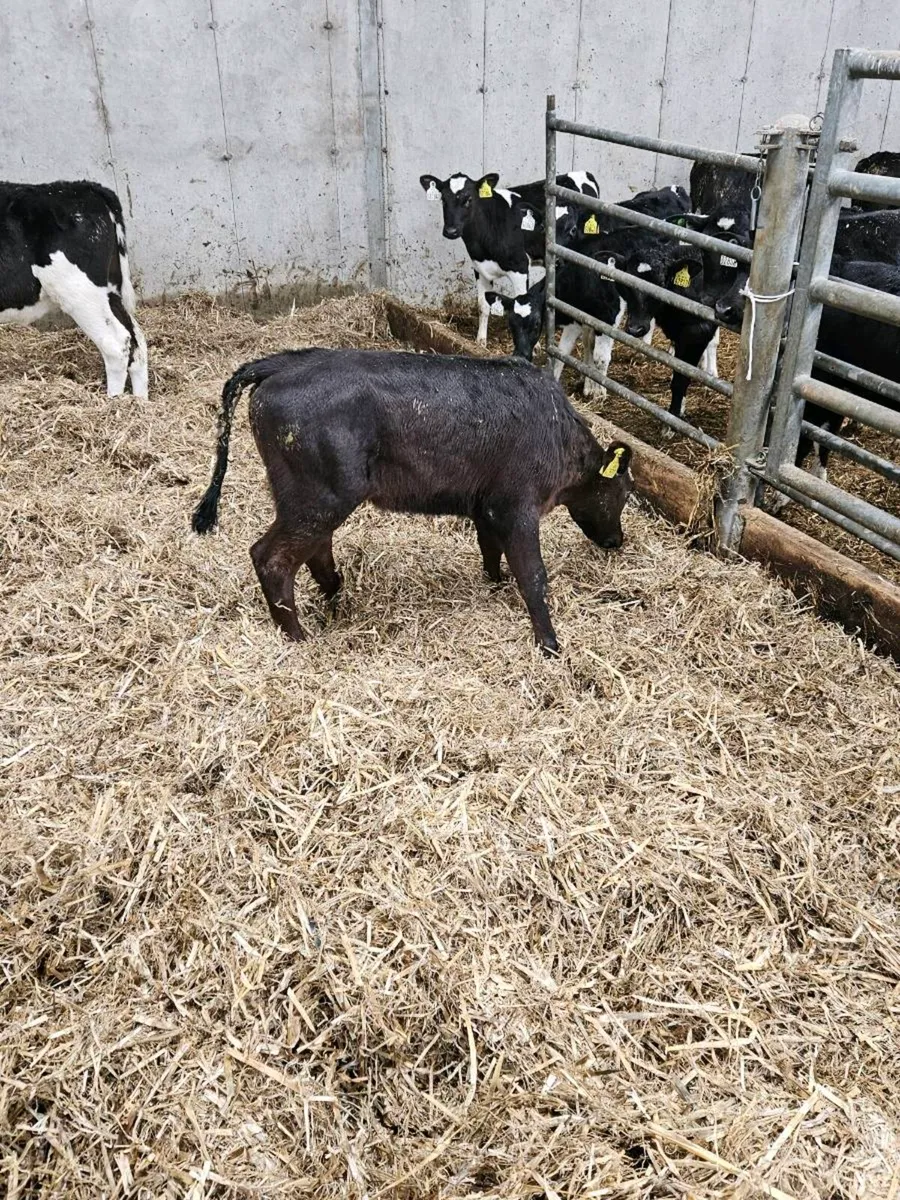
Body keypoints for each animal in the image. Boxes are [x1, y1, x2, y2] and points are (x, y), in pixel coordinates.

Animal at [0, 180, 148, 396]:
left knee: (116, 344)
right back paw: (139, 402)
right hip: (110, 291)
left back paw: (113, 401)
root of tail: (86, 187)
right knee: (137, 341)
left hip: (80, 293)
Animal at [191, 348, 634, 655]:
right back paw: (298, 638)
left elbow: (490, 551)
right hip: (319, 495)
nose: (617, 541)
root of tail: (282, 364)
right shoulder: (518, 505)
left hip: (309, 496)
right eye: (625, 493)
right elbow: (534, 576)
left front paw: (496, 585)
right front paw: (550, 644)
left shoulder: (486, 505)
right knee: (272, 557)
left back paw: (336, 597)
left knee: (316, 549)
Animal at [418, 171, 599, 344]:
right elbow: (483, 306)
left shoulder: (520, 268)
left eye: (468, 199)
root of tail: (584, 173)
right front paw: (480, 341)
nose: (451, 231)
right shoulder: (479, 268)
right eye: (443, 200)